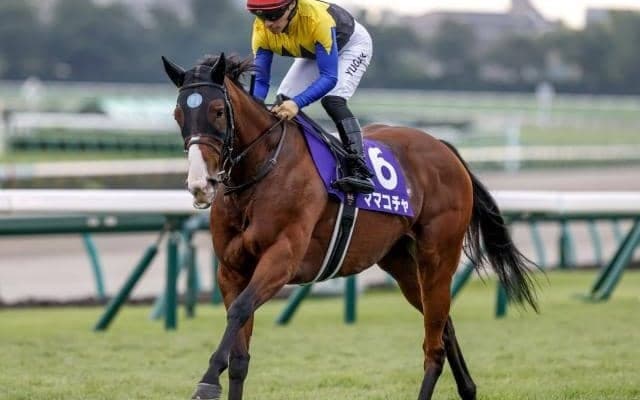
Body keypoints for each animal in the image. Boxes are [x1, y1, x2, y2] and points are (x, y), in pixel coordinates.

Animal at [162, 53, 538, 400]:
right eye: (178, 114)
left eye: (217, 111)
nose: (200, 183)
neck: (259, 172)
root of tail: (444, 148)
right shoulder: (231, 269)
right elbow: (239, 353)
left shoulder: (282, 258)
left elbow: (239, 310)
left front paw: (207, 381)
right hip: (402, 263)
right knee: (444, 326)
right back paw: (469, 389)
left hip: (439, 254)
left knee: (434, 346)